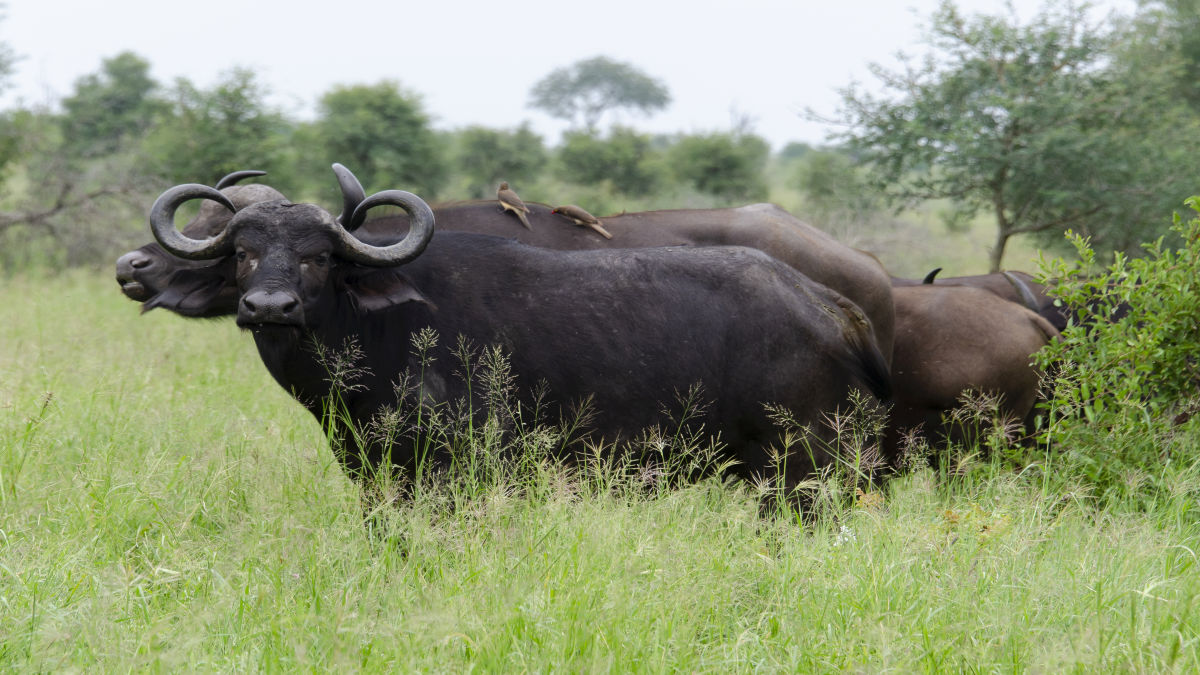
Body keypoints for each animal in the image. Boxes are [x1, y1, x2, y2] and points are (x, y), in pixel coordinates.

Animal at [142, 176, 892, 497]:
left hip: (799, 471)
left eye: (319, 257)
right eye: (242, 252)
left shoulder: (458, 472)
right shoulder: (374, 472)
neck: (376, 329)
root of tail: (832, 305)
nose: (269, 306)